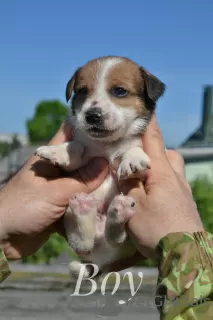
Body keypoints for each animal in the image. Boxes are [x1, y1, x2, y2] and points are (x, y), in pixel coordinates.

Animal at [35, 56, 166, 278]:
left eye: (120, 91)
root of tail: (100, 260)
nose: (92, 115)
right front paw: (58, 152)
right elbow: (77, 146)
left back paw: (118, 212)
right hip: (69, 220)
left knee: (116, 238)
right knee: (84, 242)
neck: (107, 146)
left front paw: (132, 159)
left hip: (130, 241)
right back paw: (84, 208)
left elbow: (134, 147)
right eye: (82, 91)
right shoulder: (80, 150)